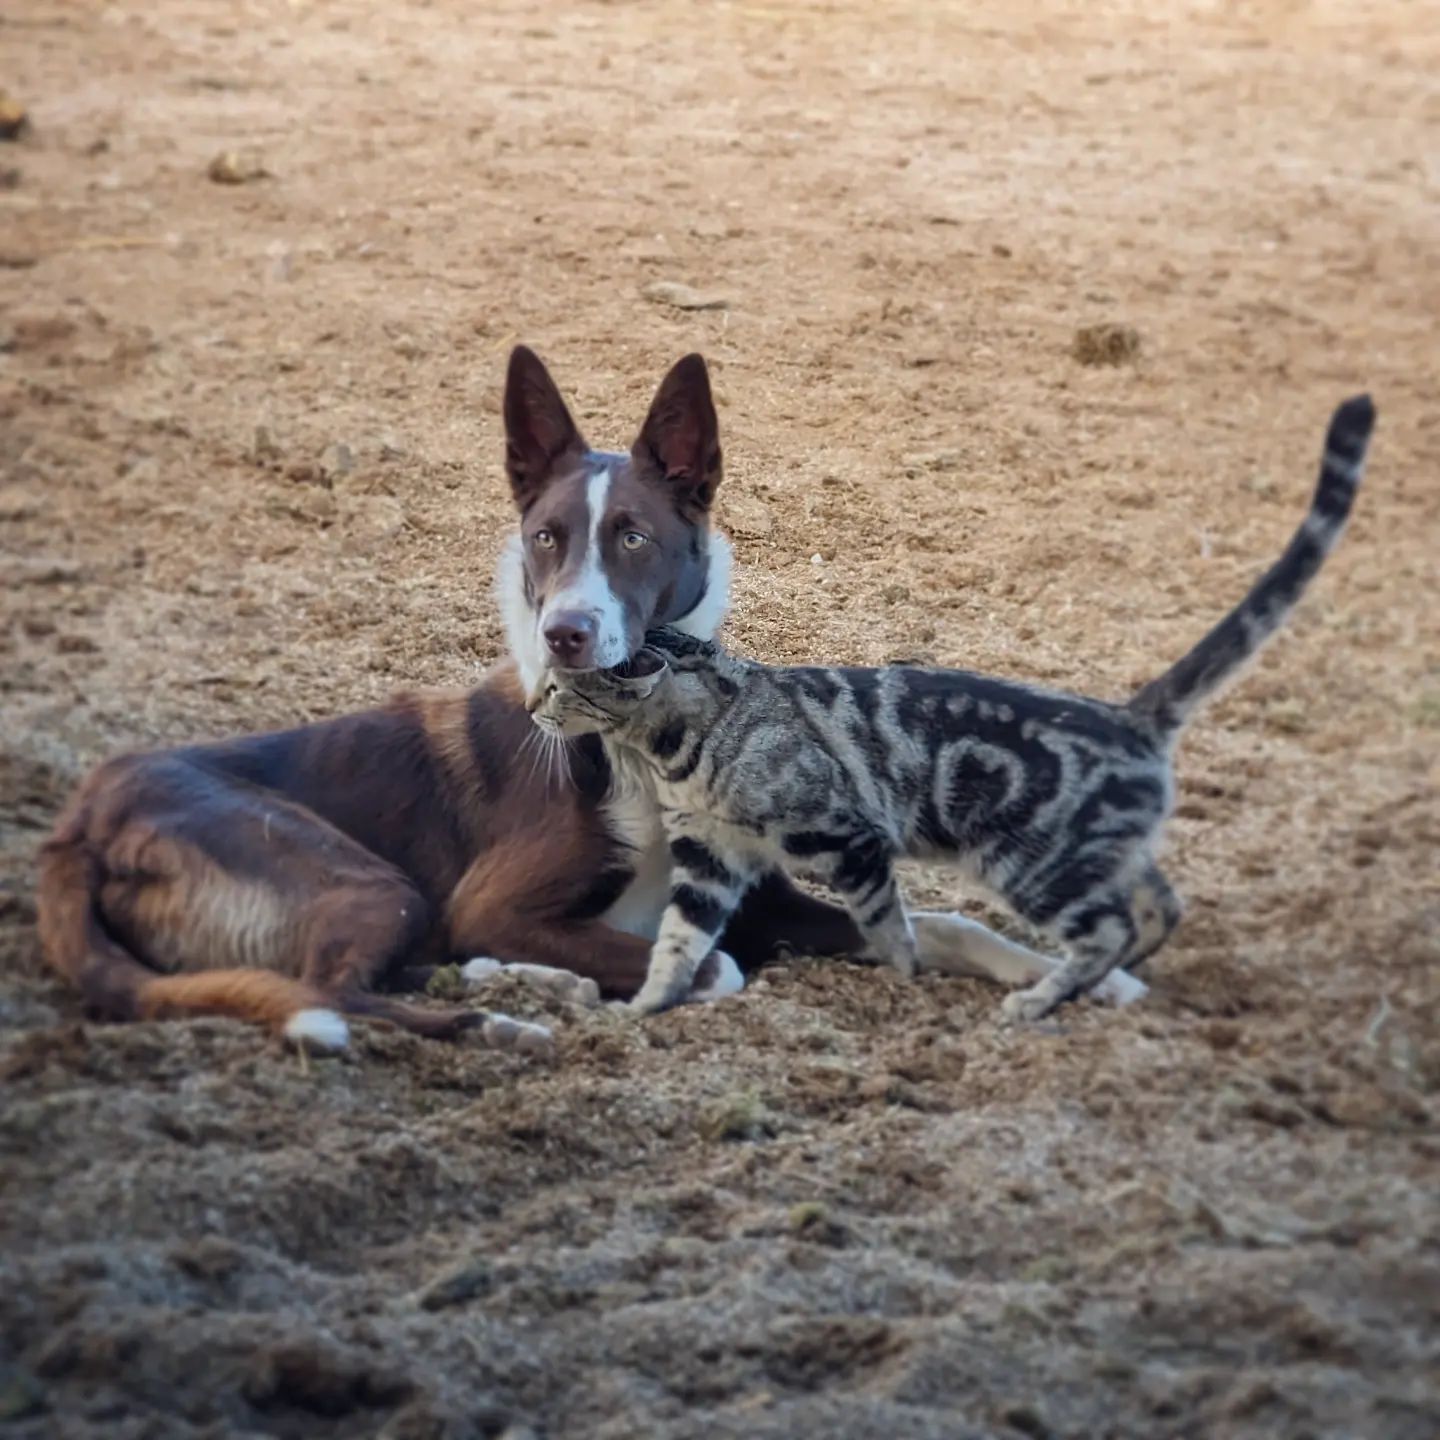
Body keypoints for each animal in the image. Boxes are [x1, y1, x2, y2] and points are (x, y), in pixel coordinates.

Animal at [527, 400, 1370, 1019]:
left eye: (559, 686)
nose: (534, 706)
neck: (680, 749)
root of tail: (1131, 716)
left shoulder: (852, 841)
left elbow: (889, 929)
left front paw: (904, 982)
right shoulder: (709, 860)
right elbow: (678, 947)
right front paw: (647, 1010)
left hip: (1034, 864)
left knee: (1110, 926)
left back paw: (1039, 1000)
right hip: (1099, 852)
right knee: (1159, 904)